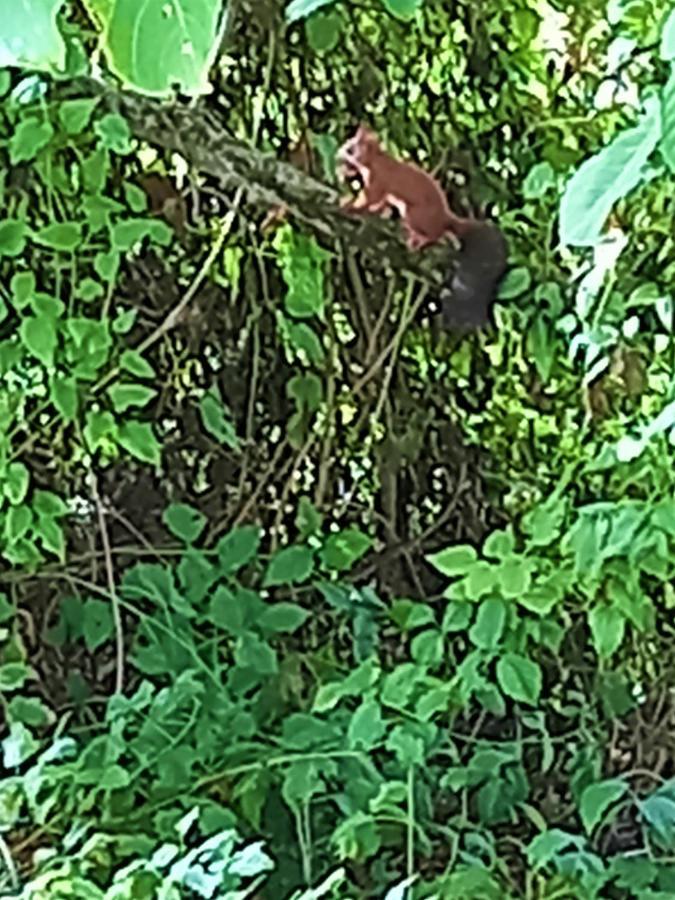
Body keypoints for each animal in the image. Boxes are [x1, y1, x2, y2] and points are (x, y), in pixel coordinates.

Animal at [338, 123, 508, 326]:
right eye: (348, 143)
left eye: (351, 149)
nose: (338, 154)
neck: (376, 161)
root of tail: (445, 217)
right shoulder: (383, 191)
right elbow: (381, 204)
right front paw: (375, 210)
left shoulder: (379, 180)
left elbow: (369, 199)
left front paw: (350, 205)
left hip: (414, 214)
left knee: (434, 234)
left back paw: (419, 239)